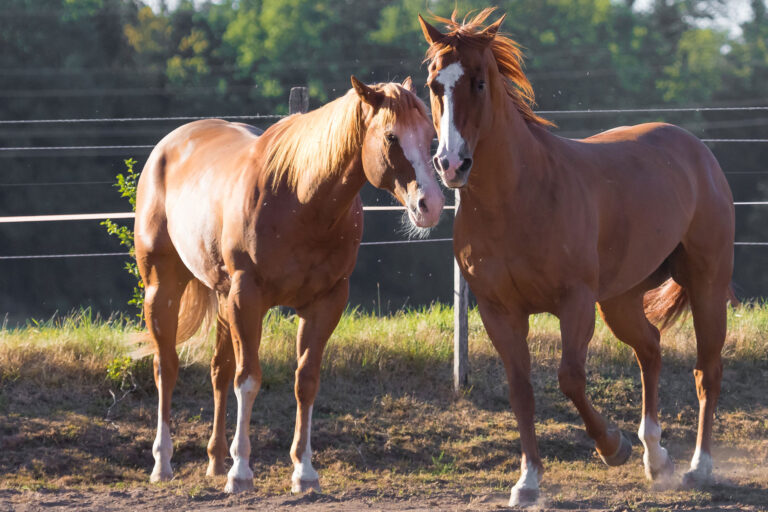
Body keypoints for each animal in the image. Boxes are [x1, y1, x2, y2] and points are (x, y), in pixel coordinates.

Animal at [133, 78, 444, 494]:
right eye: (392, 136)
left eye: (429, 134)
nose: (432, 204)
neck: (300, 198)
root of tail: (167, 146)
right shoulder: (247, 298)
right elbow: (248, 379)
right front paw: (241, 472)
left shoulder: (325, 302)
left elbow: (305, 381)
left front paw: (304, 472)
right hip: (162, 288)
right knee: (166, 367)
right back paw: (163, 463)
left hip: (222, 296)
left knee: (218, 370)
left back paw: (215, 460)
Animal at [420, 10, 736, 506]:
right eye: (435, 84)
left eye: (478, 82)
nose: (452, 164)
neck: (518, 197)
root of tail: (697, 150)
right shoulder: (499, 310)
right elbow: (521, 389)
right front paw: (527, 482)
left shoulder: (575, 301)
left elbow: (570, 377)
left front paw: (612, 447)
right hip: (620, 300)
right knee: (650, 348)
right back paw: (656, 458)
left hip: (706, 284)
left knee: (708, 370)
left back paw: (697, 468)